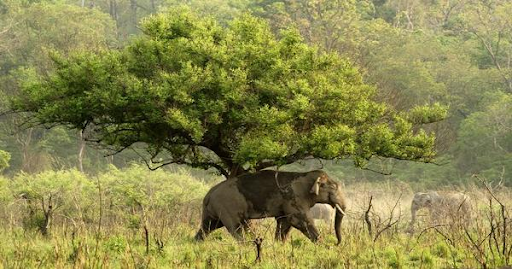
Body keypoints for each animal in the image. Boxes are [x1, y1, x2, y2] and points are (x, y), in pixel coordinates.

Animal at [194, 170, 346, 243]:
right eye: (334, 187)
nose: (337, 243)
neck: (305, 175)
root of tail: (208, 195)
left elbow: (285, 223)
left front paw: (279, 245)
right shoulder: (294, 199)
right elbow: (300, 221)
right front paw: (324, 246)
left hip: (214, 210)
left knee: (207, 227)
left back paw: (196, 243)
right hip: (227, 207)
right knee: (236, 228)